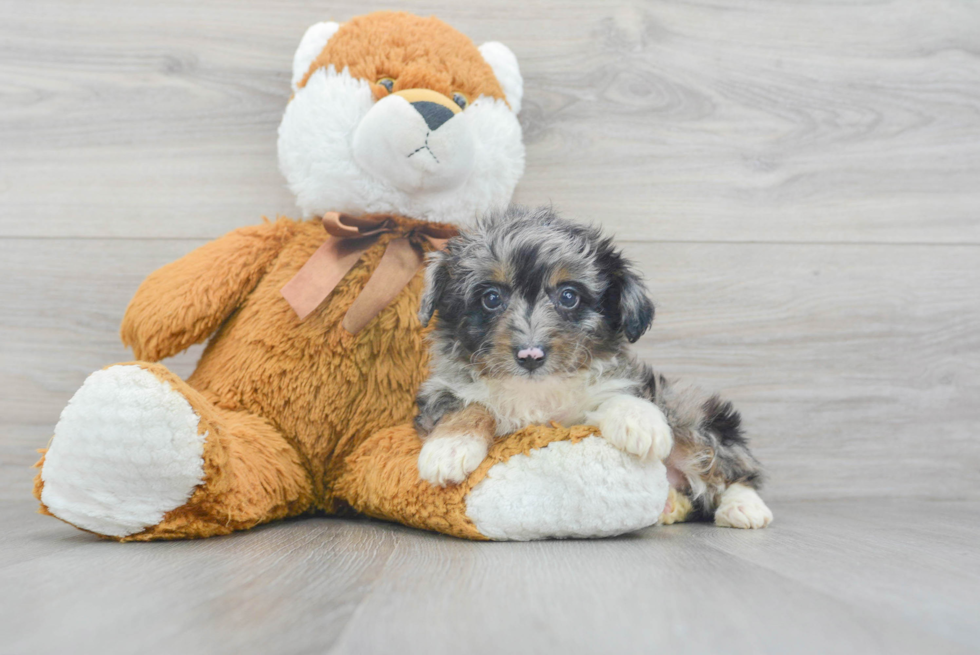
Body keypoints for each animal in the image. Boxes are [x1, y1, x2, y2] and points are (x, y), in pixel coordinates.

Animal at [414, 208, 772, 532]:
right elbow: (471, 406)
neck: (536, 390)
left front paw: (640, 422)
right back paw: (669, 505)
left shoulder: (610, 391)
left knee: (734, 470)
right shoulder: (440, 390)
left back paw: (744, 507)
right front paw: (448, 448)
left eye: (568, 296)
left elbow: (616, 395)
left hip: (692, 413)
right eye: (491, 298)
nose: (530, 355)